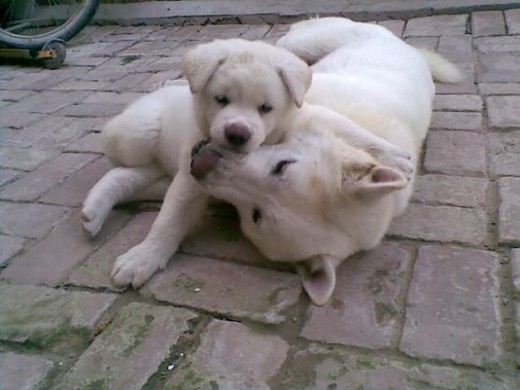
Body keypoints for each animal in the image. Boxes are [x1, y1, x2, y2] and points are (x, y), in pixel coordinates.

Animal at [81, 35, 412, 286]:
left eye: (265, 107)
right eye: (221, 100)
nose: (237, 133)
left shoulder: (308, 118)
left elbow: (348, 129)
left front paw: (396, 156)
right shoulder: (190, 177)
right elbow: (169, 219)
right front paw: (143, 257)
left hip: (160, 174)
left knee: (130, 175)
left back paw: (92, 213)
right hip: (135, 136)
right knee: (124, 163)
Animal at [191, 17, 460, 304]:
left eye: (256, 216)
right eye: (282, 166)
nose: (202, 163)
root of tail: (408, 47)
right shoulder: (314, 113)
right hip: (308, 42)